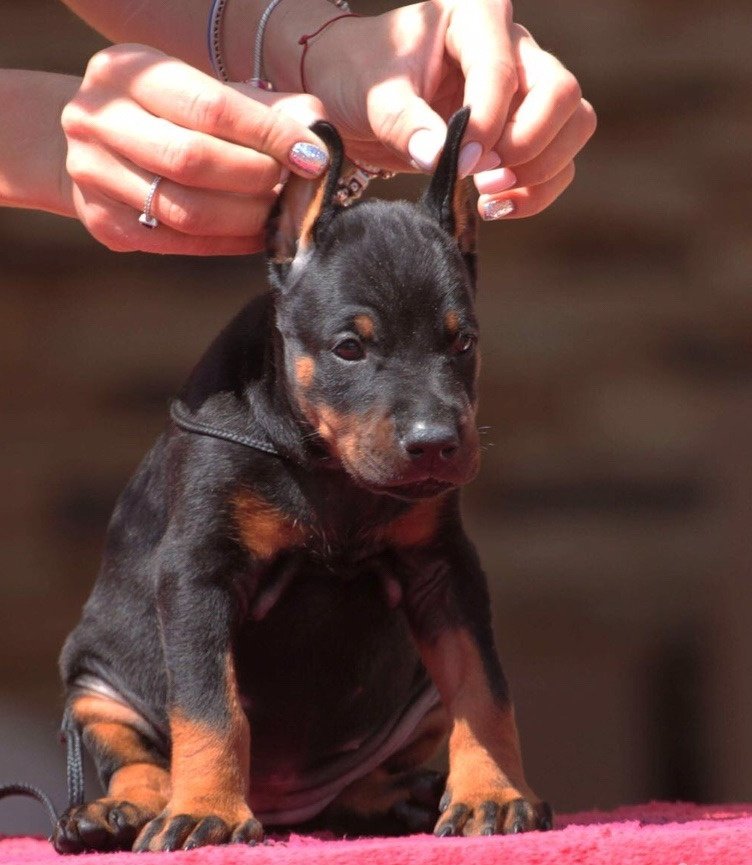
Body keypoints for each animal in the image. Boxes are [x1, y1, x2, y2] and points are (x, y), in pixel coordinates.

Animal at [51, 106, 548, 852]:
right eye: (350, 347)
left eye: (463, 342)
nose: (436, 444)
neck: (328, 465)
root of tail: (287, 807)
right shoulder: (199, 569)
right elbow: (210, 704)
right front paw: (207, 811)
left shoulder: (444, 568)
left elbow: (483, 688)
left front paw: (490, 793)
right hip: (96, 680)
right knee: (134, 759)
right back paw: (115, 811)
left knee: (367, 778)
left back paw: (405, 795)